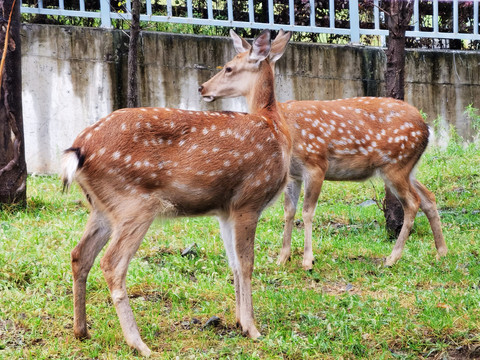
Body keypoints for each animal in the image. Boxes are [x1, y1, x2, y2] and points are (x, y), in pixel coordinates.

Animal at [61, 29, 292, 356]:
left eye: (228, 68)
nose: (203, 87)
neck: (274, 127)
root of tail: (78, 150)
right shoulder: (249, 199)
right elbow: (247, 263)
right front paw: (252, 328)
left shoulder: (226, 209)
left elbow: (234, 263)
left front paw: (238, 321)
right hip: (135, 203)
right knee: (112, 263)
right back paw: (139, 344)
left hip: (102, 208)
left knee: (79, 255)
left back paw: (82, 331)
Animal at [229, 31, 446, 270]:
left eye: (229, 68)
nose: (208, 87)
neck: (279, 120)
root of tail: (426, 128)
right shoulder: (293, 174)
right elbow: (289, 211)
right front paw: (282, 258)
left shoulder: (316, 163)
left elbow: (307, 212)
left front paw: (308, 260)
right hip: (407, 167)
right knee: (428, 197)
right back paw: (441, 252)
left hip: (395, 165)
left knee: (413, 202)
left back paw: (392, 258)